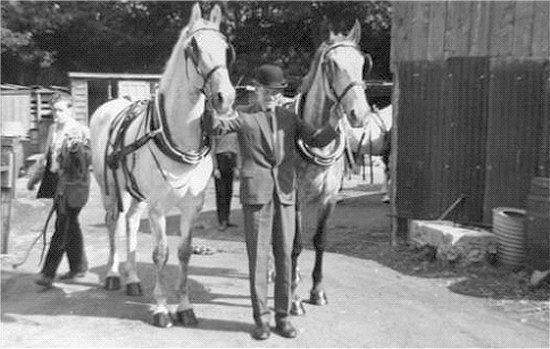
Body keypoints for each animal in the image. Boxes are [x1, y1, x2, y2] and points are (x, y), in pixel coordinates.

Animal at [90, 3, 235, 326]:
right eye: (193, 48)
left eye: (226, 48)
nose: (226, 97)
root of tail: (109, 106)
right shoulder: (157, 207)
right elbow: (160, 254)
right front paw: (160, 308)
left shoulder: (192, 206)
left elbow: (183, 253)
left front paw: (184, 307)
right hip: (110, 189)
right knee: (113, 222)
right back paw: (114, 275)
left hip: (135, 193)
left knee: (131, 222)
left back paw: (132, 279)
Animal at [294, 20, 376, 312]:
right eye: (331, 64)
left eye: (363, 63)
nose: (359, 114)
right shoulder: (295, 198)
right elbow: (295, 243)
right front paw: (293, 298)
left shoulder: (328, 198)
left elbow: (319, 241)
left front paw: (317, 291)